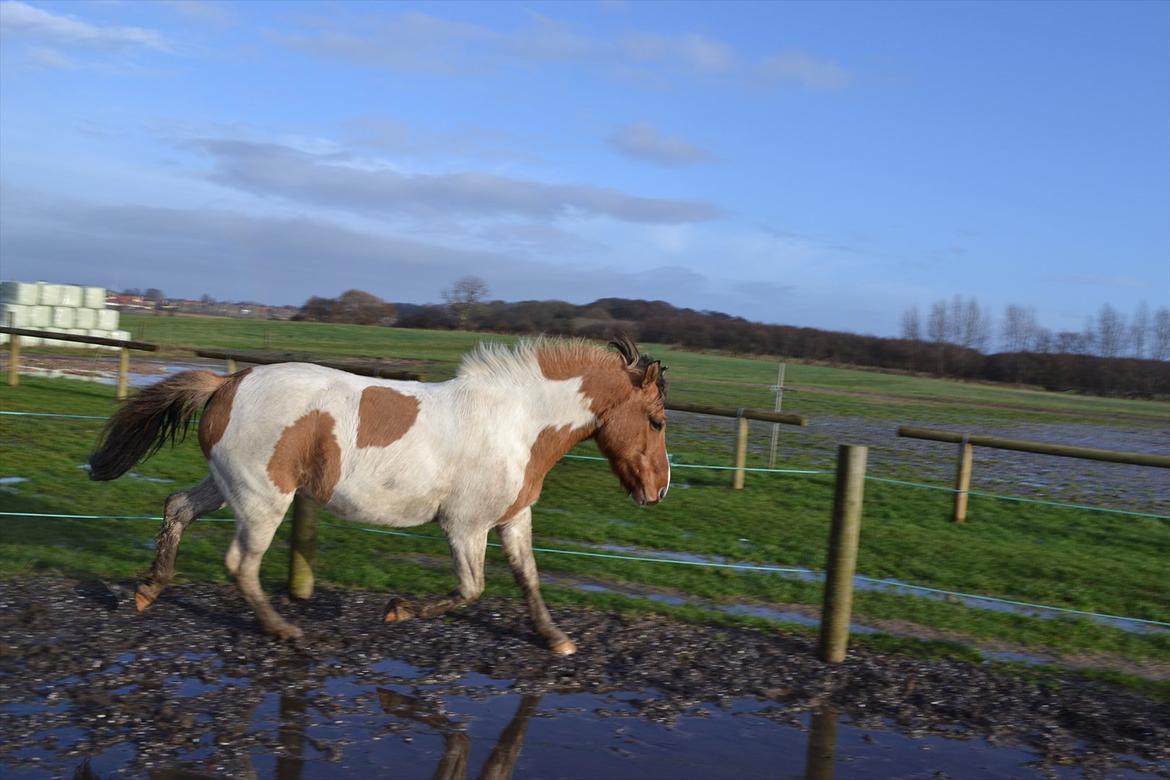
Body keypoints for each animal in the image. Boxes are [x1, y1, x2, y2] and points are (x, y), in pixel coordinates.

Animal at [87, 336, 673, 654]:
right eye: (657, 421)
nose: (658, 490)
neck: (517, 423)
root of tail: (227, 384)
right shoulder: (466, 527)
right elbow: (472, 589)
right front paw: (397, 610)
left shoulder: (513, 518)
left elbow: (528, 579)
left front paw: (555, 638)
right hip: (262, 499)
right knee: (240, 563)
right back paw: (283, 628)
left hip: (227, 486)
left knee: (178, 507)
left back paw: (148, 590)